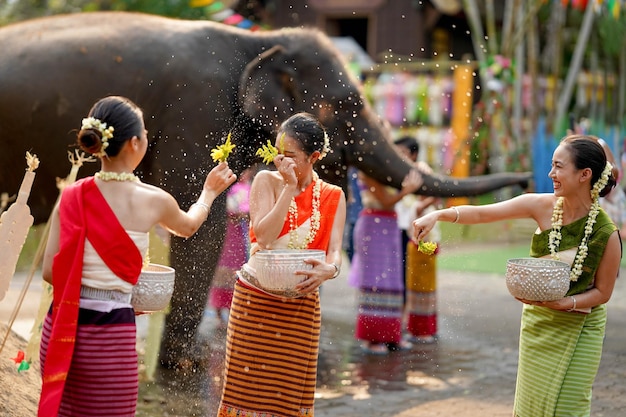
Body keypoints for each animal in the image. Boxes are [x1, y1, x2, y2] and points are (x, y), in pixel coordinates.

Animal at [0, 11, 528, 366]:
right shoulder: (198, 109)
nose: (526, 176)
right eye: (348, 104)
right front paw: (183, 365)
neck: (258, 41)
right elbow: (199, 223)